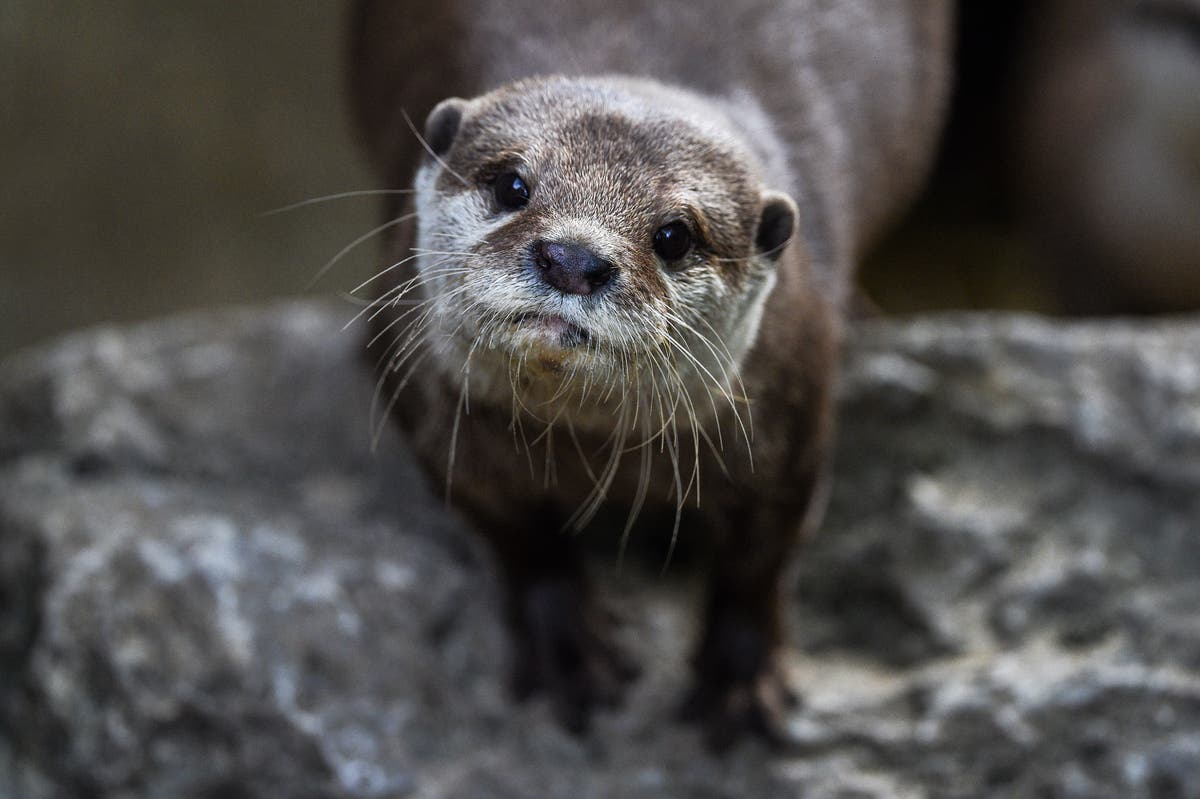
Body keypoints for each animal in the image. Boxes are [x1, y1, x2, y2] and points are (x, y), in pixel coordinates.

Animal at [347, 0, 951, 747]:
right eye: (512, 184)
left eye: (674, 235)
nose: (573, 259)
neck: (585, 451)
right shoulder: (434, 422)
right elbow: (520, 541)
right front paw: (567, 648)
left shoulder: (795, 420)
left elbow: (760, 563)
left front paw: (741, 680)